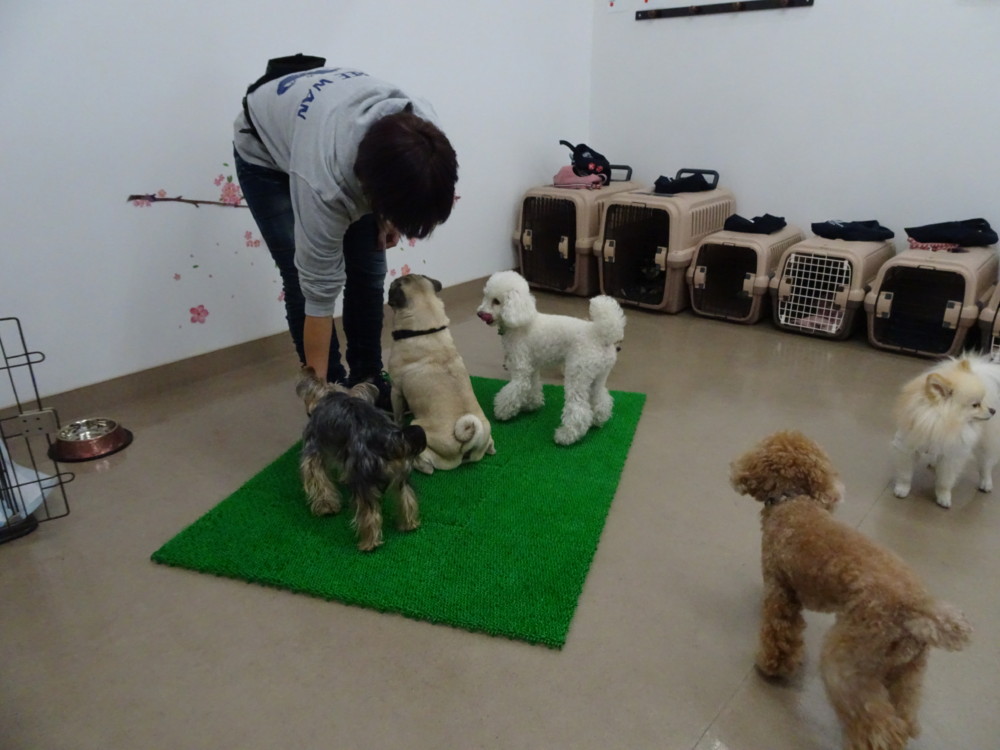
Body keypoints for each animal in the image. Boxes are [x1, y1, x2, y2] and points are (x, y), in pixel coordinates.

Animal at [296, 367, 427, 551]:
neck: (330, 394)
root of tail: (390, 439)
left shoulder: (312, 450)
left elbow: (318, 481)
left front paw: (326, 507)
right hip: (401, 474)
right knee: (406, 498)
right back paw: (409, 524)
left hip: (363, 477)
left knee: (369, 514)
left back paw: (368, 544)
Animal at [386, 273, 495, 474]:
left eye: (392, 286)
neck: (427, 330)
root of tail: (470, 441)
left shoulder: (396, 390)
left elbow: (397, 417)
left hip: (418, 427)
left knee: (427, 465)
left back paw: (414, 463)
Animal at [476, 270, 625, 446]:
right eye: (485, 297)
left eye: (496, 301)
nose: (479, 313)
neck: (521, 320)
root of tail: (602, 334)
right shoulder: (532, 367)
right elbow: (532, 386)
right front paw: (531, 404)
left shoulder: (521, 368)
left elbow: (515, 389)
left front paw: (502, 412)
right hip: (599, 375)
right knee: (602, 398)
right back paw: (599, 419)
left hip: (577, 373)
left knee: (578, 409)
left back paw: (566, 435)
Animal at [731, 430, 972, 750]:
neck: (792, 500)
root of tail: (917, 610)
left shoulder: (780, 590)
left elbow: (779, 634)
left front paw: (772, 666)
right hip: (908, 670)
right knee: (905, 714)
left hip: (847, 662)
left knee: (877, 721)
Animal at [892, 352, 1000, 509]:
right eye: (975, 405)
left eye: (982, 401)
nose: (993, 410)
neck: (939, 423)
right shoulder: (907, 447)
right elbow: (905, 474)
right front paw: (902, 489)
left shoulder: (952, 456)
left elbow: (945, 481)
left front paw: (943, 497)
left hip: (985, 444)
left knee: (985, 464)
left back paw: (986, 483)